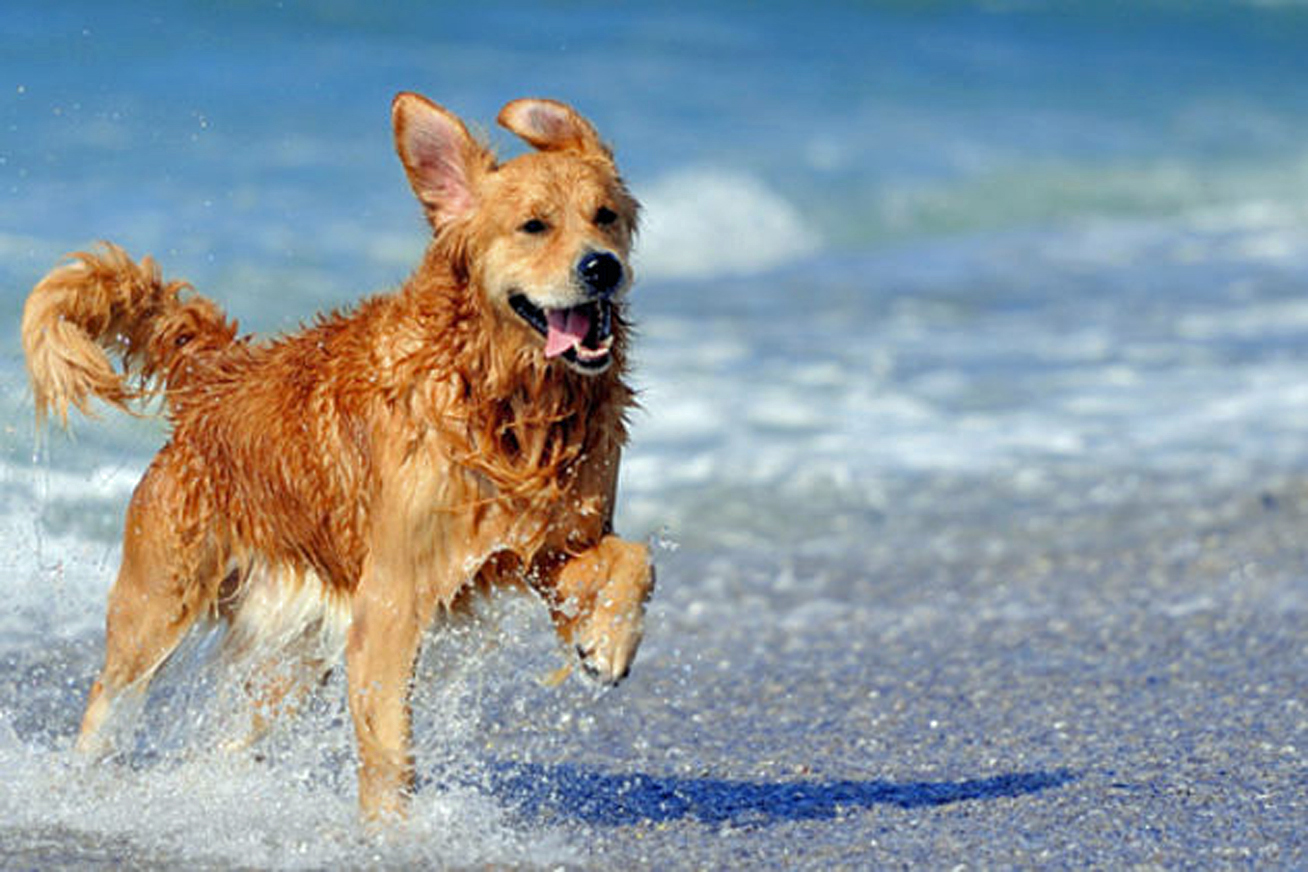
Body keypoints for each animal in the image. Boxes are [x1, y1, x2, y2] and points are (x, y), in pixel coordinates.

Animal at [20, 95, 654, 826]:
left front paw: (606, 644)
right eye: (534, 226)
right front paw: (393, 834)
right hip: (157, 606)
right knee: (108, 702)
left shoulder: (548, 545)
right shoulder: (393, 596)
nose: (602, 267)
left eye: (605, 216)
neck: (505, 398)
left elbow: (634, 557)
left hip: (293, 653)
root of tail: (217, 377)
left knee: (231, 737)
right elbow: (389, 748)